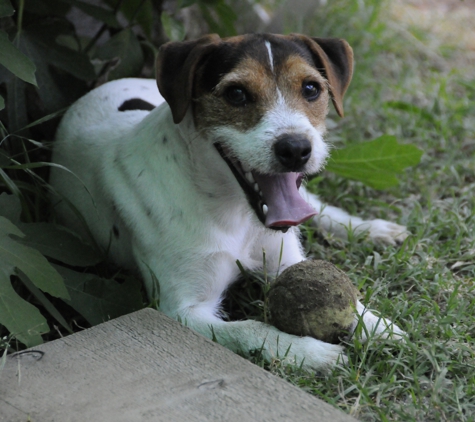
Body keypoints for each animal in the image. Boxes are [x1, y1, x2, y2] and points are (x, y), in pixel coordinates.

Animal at [51, 33, 410, 372]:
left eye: (311, 88)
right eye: (236, 94)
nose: (296, 148)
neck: (237, 214)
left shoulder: (285, 262)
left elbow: (348, 301)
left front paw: (377, 326)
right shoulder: (181, 312)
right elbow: (250, 328)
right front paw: (311, 352)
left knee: (319, 208)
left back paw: (373, 229)